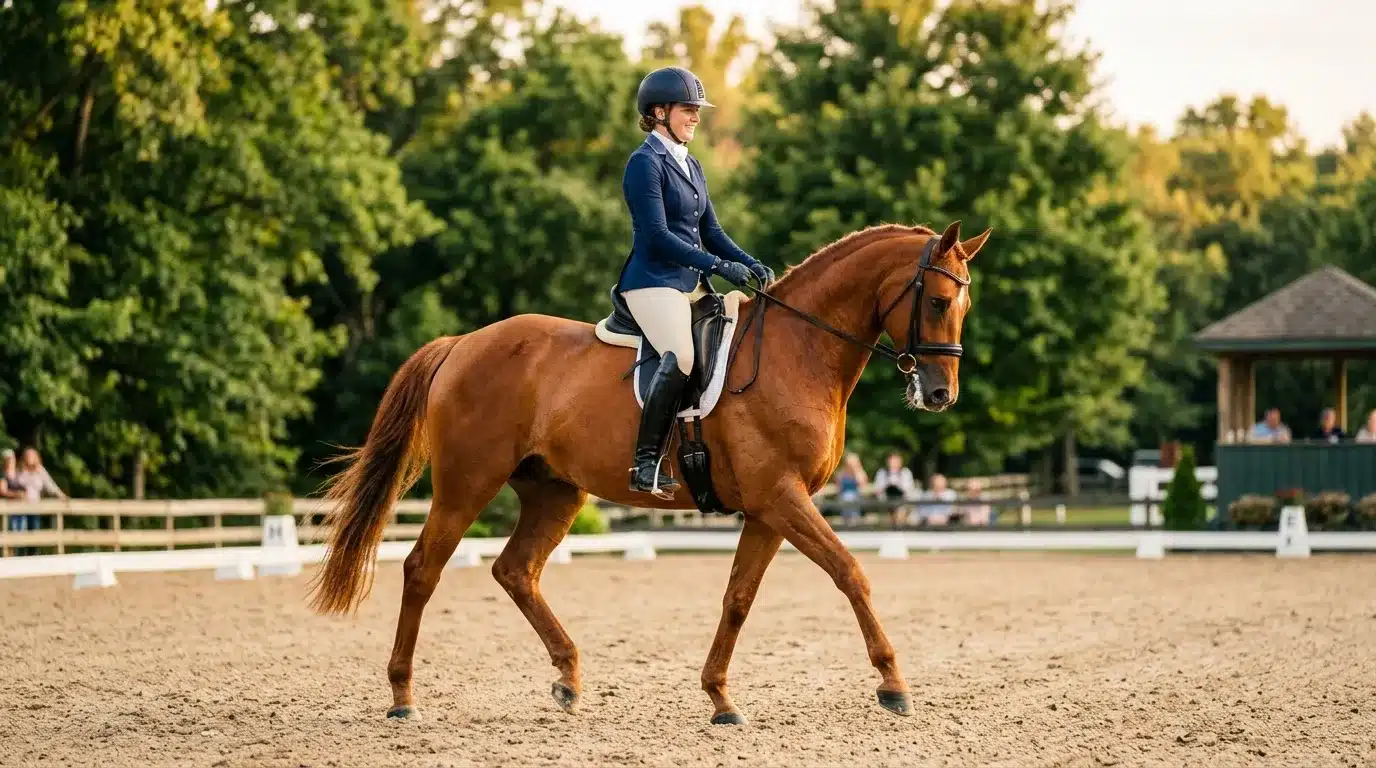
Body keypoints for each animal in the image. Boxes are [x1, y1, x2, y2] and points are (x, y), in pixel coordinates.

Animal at [306, 219, 989, 725]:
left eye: (963, 303)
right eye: (937, 301)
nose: (939, 394)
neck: (799, 351)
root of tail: (462, 343)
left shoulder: (770, 507)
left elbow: (738, 598)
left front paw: (720, 698)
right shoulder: (782, 497)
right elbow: (851, 572)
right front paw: (894, 683)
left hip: (555, 492)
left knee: (515, 571)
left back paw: (568, 679)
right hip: (468, 482)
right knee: (423, 568)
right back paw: (402, 696)